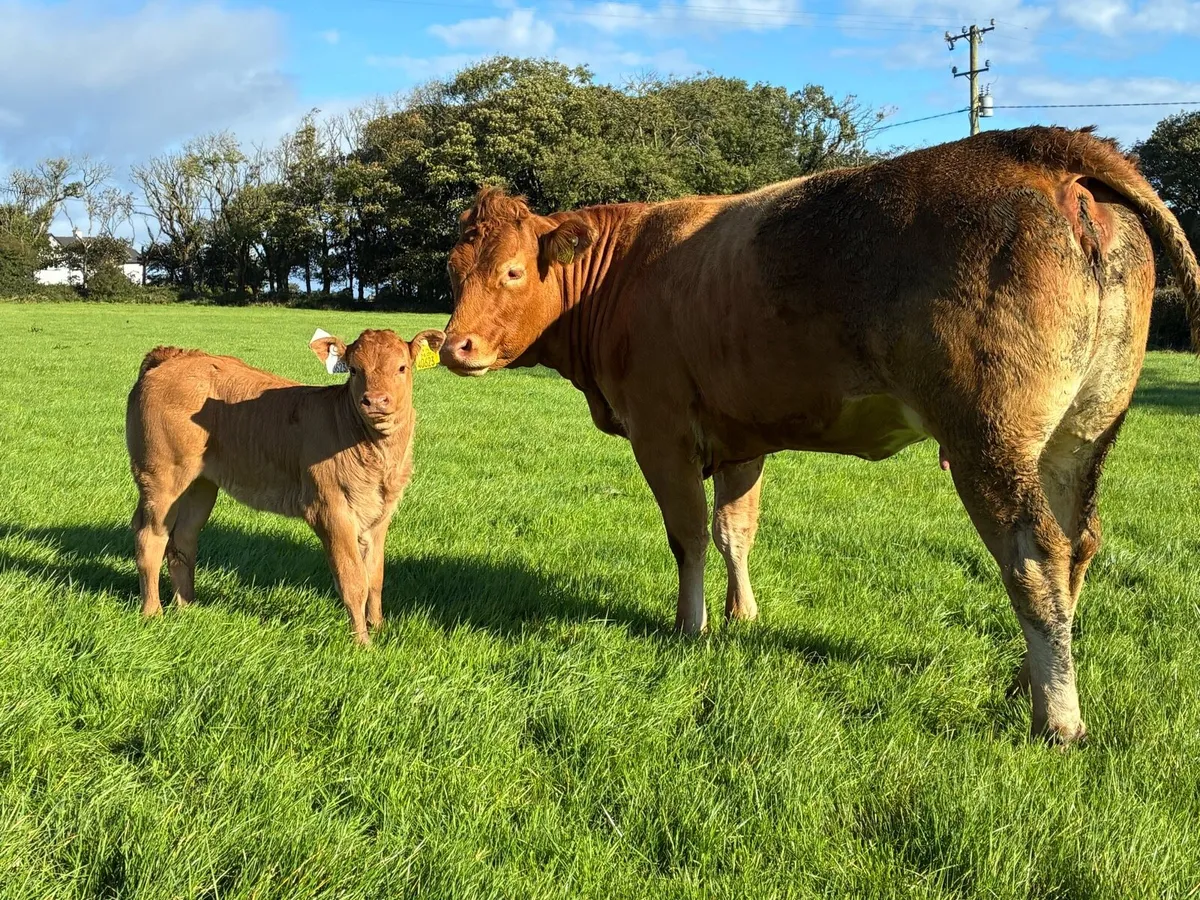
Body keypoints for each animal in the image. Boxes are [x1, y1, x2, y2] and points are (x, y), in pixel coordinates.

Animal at [126, 327, 445, 644]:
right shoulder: (329, 509)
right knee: (150, 536)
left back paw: (189, 607)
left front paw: (379, 628)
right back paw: (152, 612)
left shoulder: (380, 514)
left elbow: (375, 578)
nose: (376, 400)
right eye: (354, 370)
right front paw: (363, 643)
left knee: (183, 538)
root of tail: (175, 356)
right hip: (161, 476)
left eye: (402, 368)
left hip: (200, 484)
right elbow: (353, 580)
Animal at [438, 125, 1200, 746]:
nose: (454, 346)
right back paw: (1026, 681)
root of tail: (1039, 150)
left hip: (987, 438)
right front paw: (743, 615)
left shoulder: (659, 428)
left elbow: (688, 535)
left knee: (1035, 554)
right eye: (453, 270)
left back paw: (1057, 718)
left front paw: (691, 626)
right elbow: (734, 531)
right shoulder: (741, 436)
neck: (621, 274)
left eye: (511, 271)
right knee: (1078, 543)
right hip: (1081, 431)